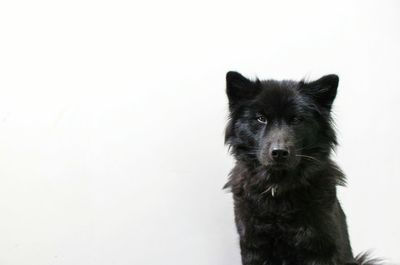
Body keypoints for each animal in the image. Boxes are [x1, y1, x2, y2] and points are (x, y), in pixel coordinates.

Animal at [223, 71, 380, 264]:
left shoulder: (319, 247)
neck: (279, 188)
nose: (279, 152)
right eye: (261, 118)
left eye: (297, 119)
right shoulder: (254, 247)